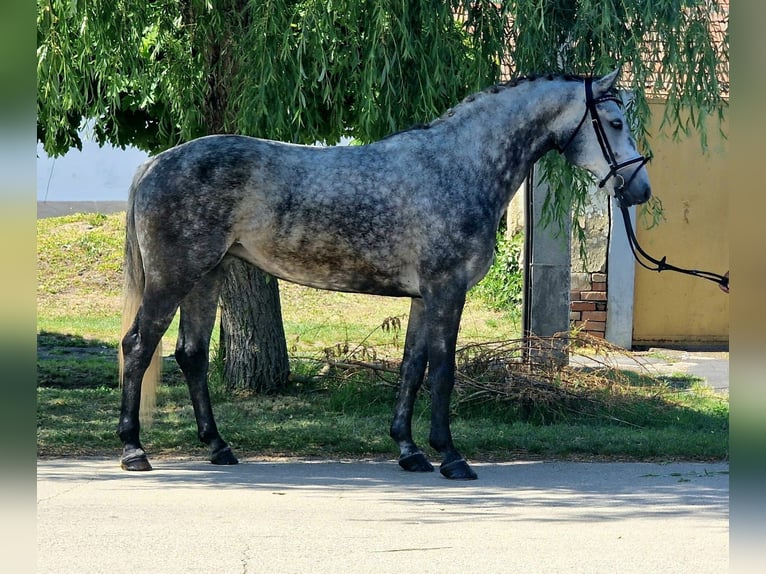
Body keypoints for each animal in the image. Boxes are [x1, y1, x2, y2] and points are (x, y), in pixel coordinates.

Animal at [118, 68, 651, 480]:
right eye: (615, 121)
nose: (640, 189)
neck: (459, 166)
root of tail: (155, 163)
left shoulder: (423, 297)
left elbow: (413, 367)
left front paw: (410, 451)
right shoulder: (447, 290)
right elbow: (443, 369)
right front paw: (451, 457)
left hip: (207, 277)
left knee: (191, 355)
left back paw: (218, 447)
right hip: (172, 279)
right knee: (139, 346)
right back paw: (133, 449)